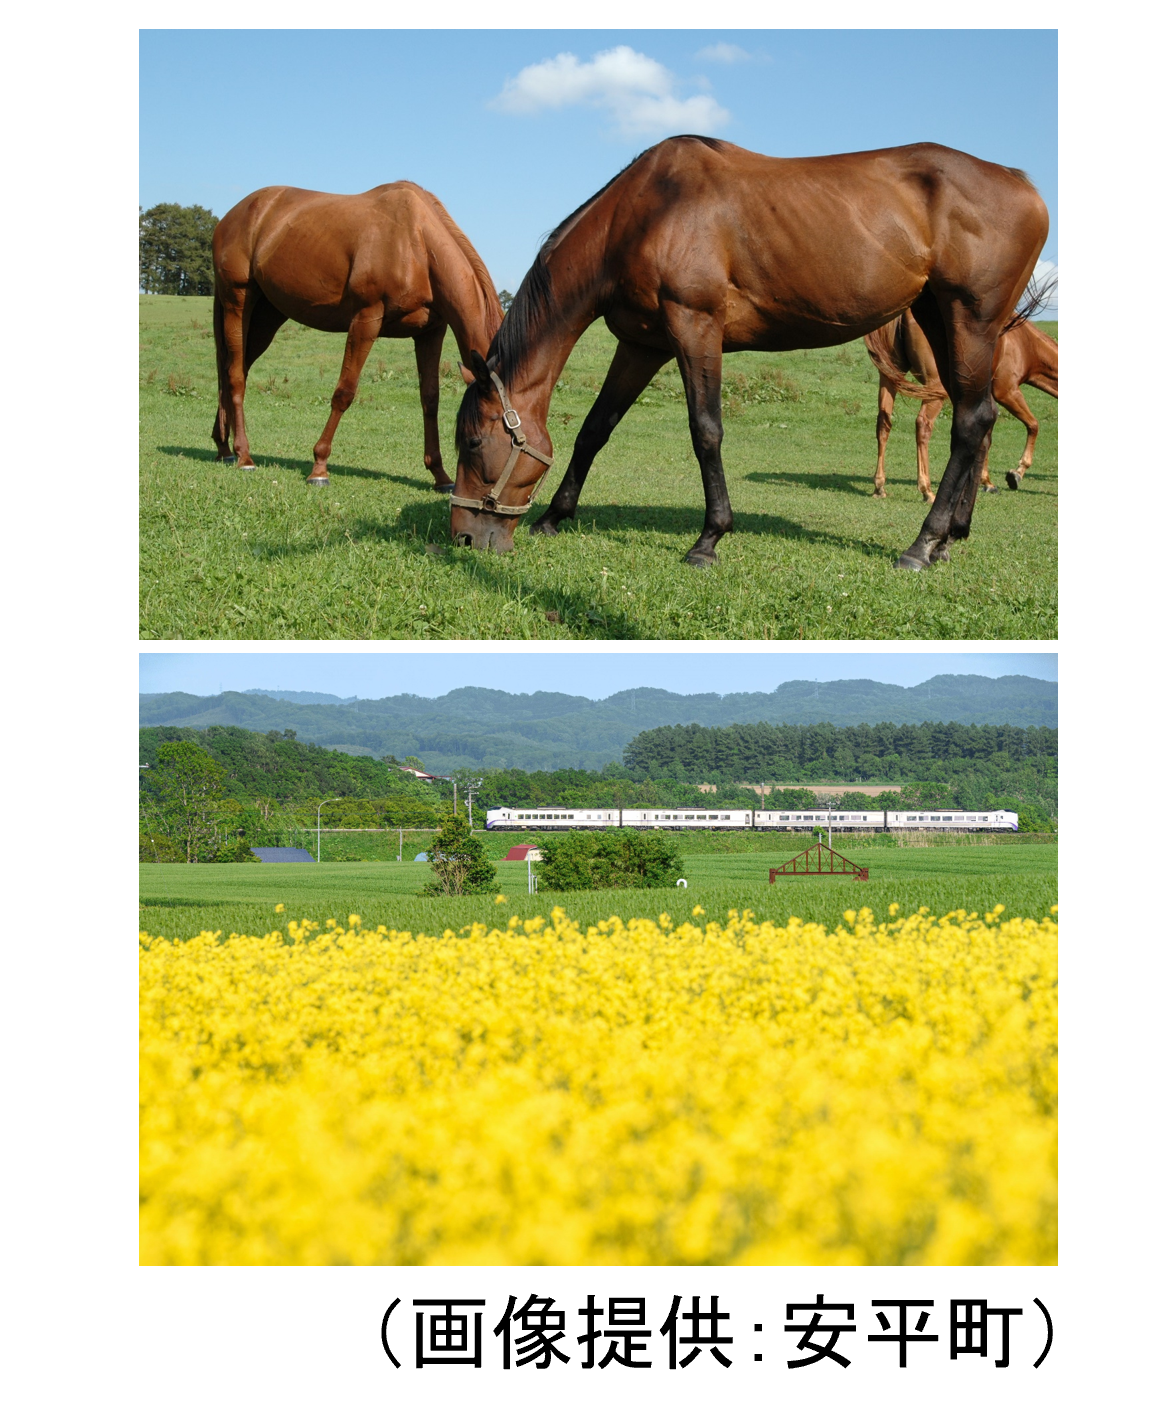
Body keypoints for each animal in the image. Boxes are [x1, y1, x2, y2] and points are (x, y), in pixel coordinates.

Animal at [212, 183, 502, 488]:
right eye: (494, 420)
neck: (417, 244)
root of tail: (232, 216)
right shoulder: (366, 320)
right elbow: (344, 392)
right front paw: (319, 467)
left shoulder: (430, 333)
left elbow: (430, 399)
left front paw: (440, 474)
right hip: (238, 301)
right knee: (234, 376)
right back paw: (244, 456)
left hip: (266, 316)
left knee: (235, 370)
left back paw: (224, 447)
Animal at [867, 312, 1058, 500]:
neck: (1024, 343)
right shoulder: (1008, 392)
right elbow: (1033, 425)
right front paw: (1016, 473)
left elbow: (985, 437)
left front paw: (987, 482)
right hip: (934, 386)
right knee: (922, 426)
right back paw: (926, 490)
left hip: (890, 377)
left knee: (883, 423)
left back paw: (879, 486)